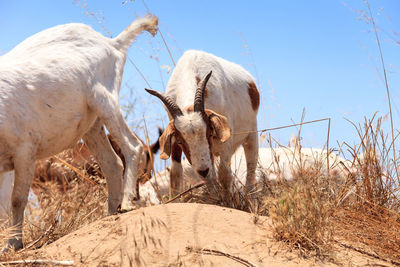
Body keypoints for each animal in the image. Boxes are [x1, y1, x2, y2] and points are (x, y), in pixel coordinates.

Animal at [0, 15, 159, 251]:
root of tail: (112, 43)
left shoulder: (24, 150)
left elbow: (17, 200)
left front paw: (13, 243)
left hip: (105, 99)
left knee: (132, 146)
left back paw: (126, 203)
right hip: (92, 125)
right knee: (112, 163)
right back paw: (109, 213)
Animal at [145, 50, 260, 195]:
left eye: (209, 134)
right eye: (180, 141)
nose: (203, 170)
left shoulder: (225, 138)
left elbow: (224, 173)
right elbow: (175, 174)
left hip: (251, 135)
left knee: (251, 167)